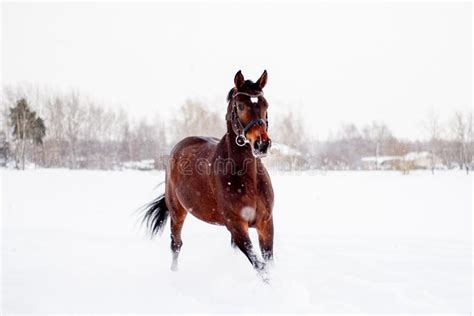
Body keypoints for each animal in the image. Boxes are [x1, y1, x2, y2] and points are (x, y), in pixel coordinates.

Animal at [142, 70, 274, 278]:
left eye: (265, 104)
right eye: (240, 106)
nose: (262, 144)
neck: (248, 178)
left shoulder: (266, 223)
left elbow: (268, 264)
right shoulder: (236, 226)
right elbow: (260, 267)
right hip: (177, 212)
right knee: (176, 245)